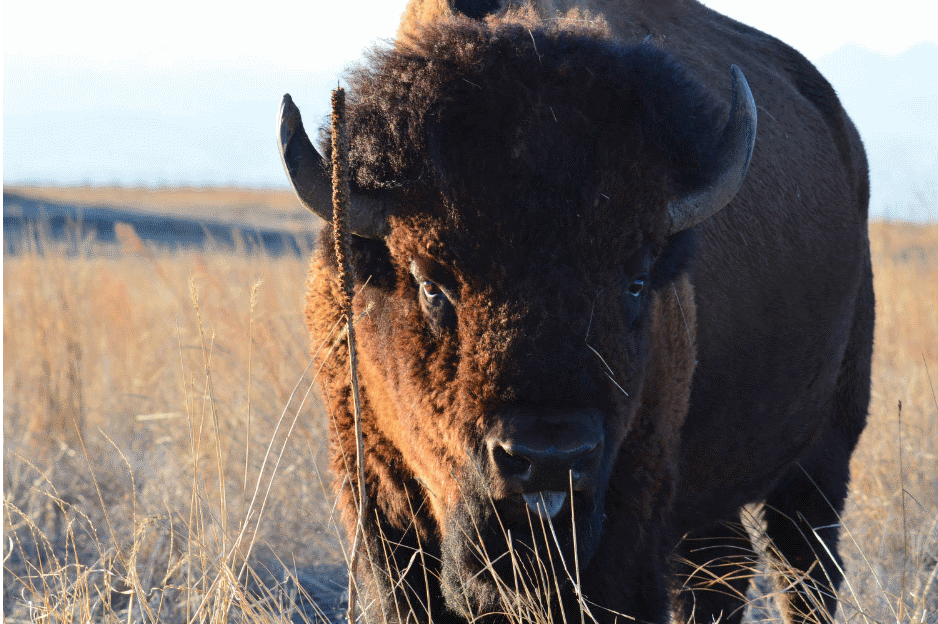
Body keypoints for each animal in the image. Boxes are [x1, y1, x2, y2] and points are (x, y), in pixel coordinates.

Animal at [278, 2, 873, 624]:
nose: (548, 457)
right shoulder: (377, 495)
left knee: (803, 566)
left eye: (635, 281)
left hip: (825, 455)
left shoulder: (632, 510)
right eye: (430, 284)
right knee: (724, 567)